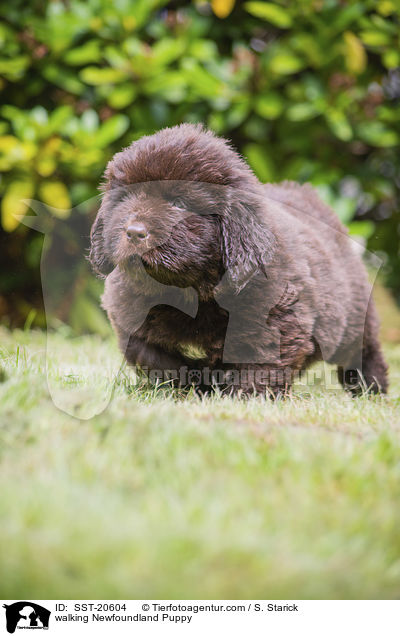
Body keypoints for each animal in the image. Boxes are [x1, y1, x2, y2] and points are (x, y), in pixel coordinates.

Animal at [90, 121, 388, 396]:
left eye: (179, 204)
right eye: (126, 198)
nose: (134, 232)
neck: (189, 294)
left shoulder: (275, 327)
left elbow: (259, 368)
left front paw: (247, 399)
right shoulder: (132, 324)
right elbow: (159, 359)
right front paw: (191, 388)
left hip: (352, 319)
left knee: (364, 352)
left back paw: (371, 389)